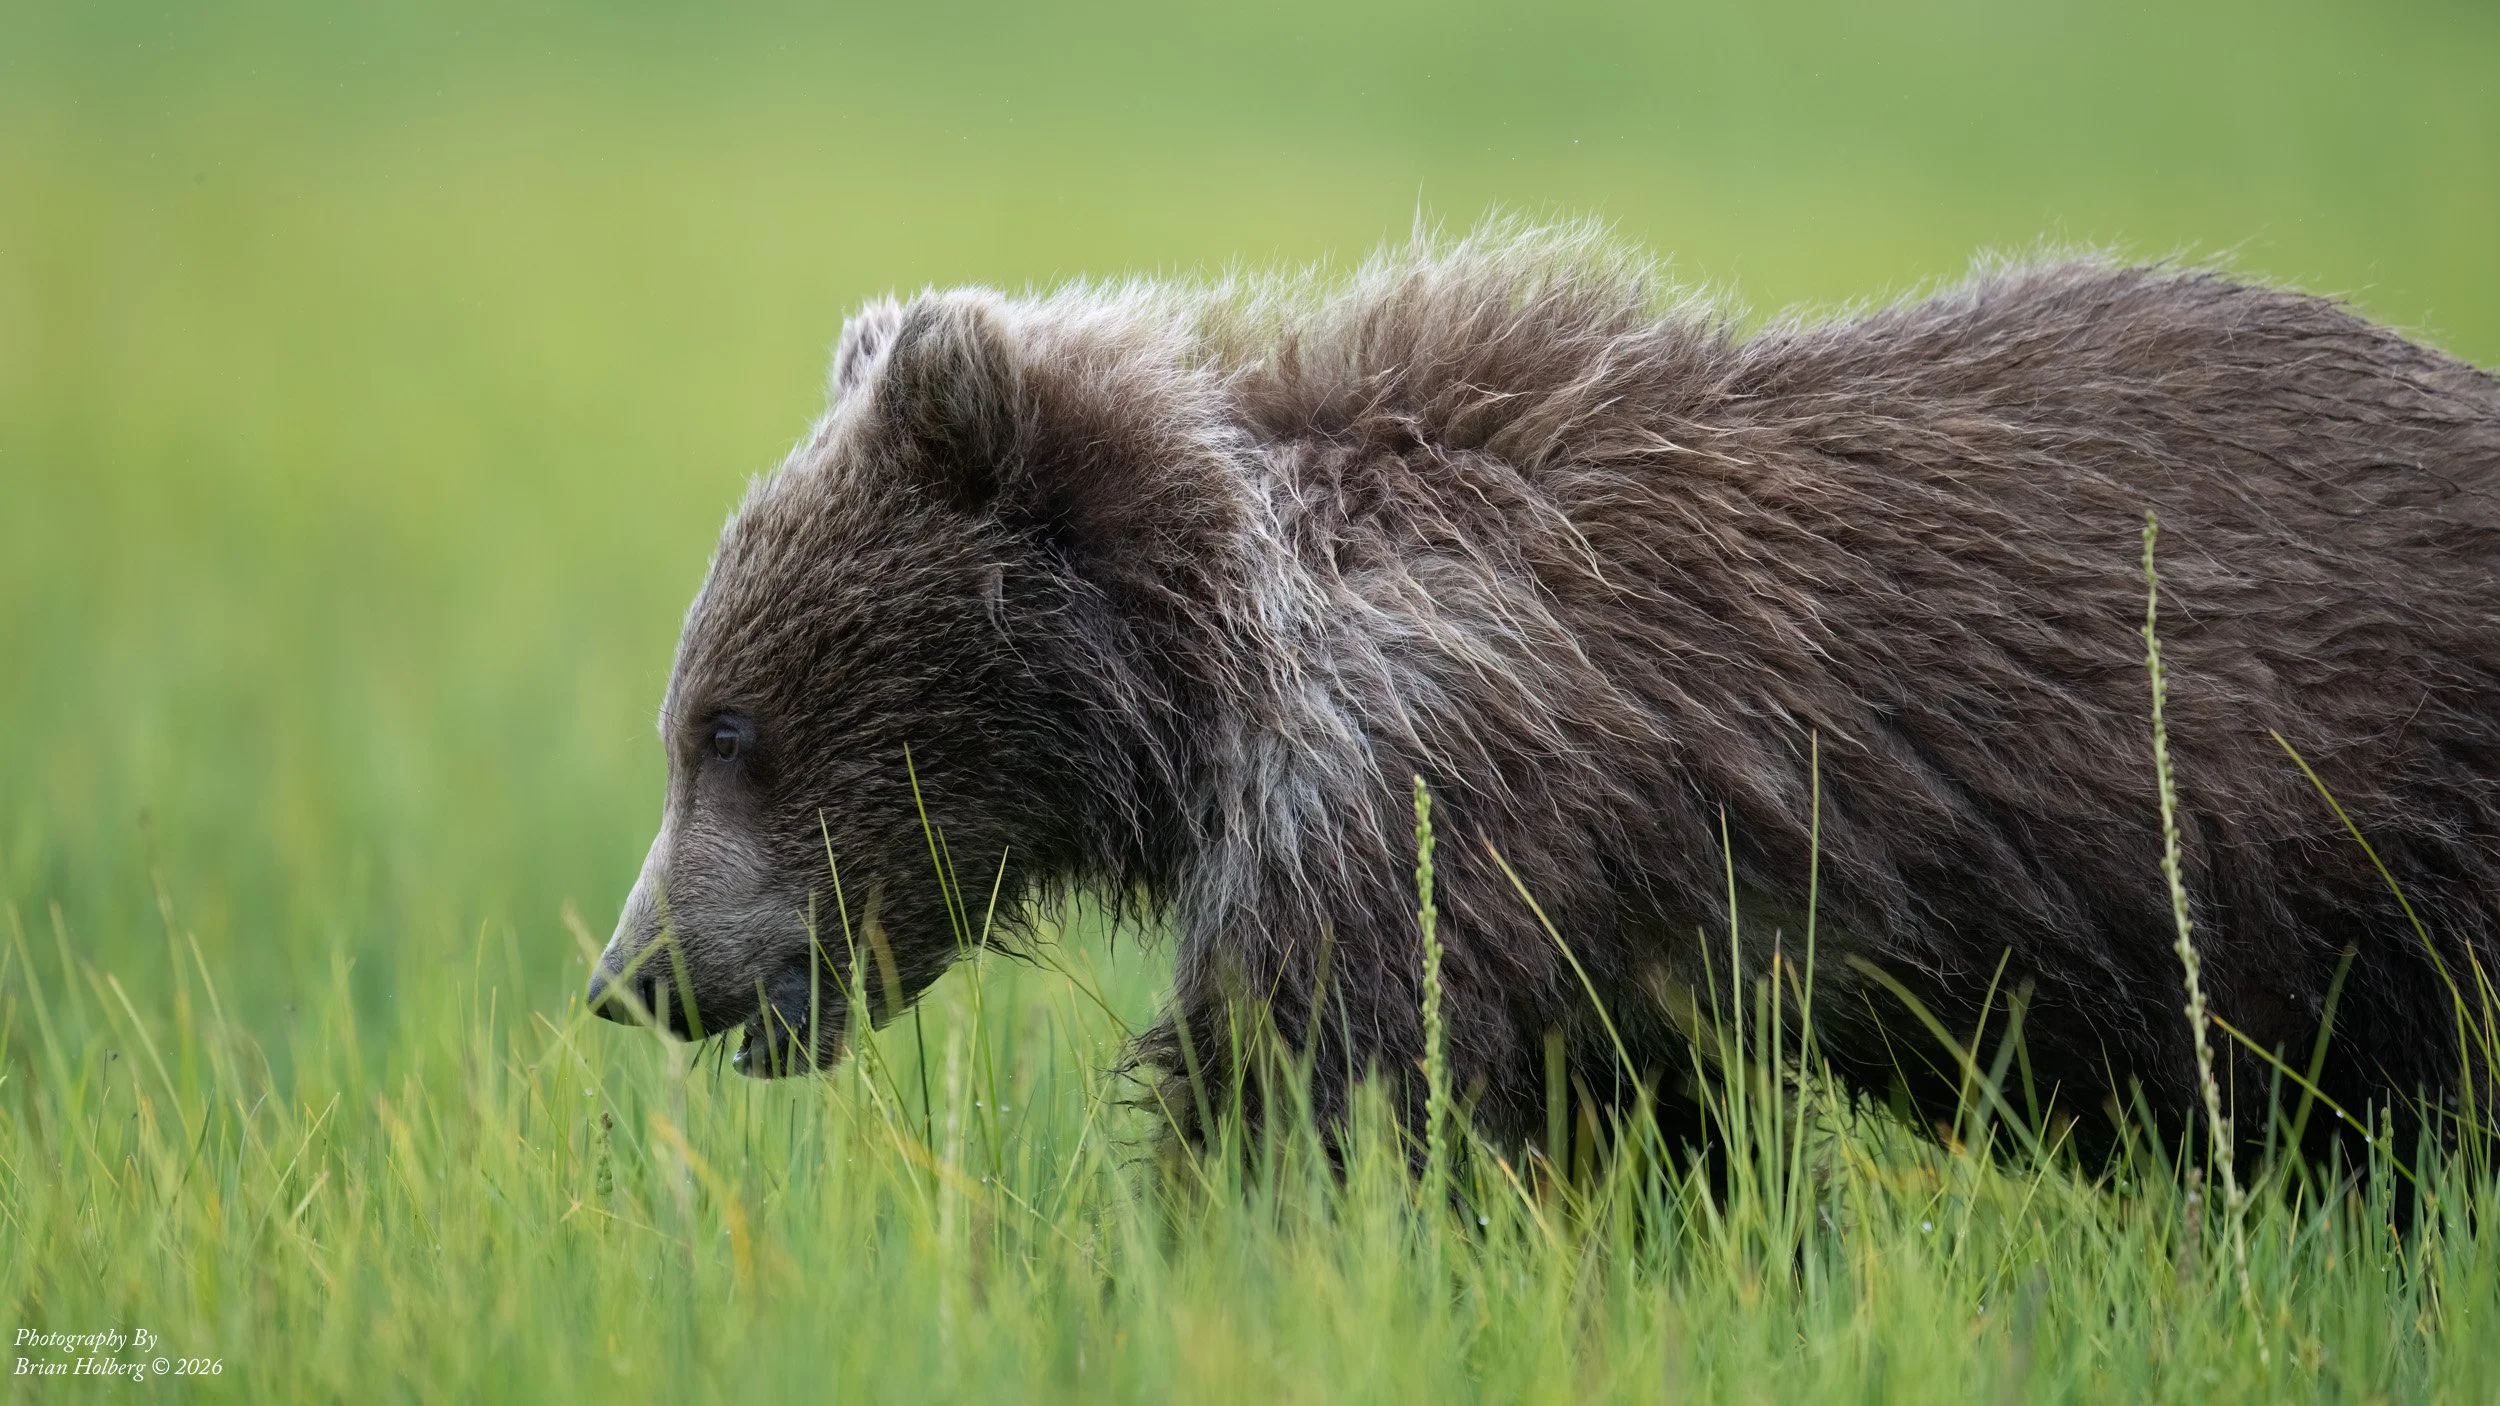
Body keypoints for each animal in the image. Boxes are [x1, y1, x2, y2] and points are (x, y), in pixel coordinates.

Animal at [591, 223, 2500, 1174]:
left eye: (724, 727)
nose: (634, 975)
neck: (1214, 673)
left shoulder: (1422, 808)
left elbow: (1319, 1098)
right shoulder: (1591, 933)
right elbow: (1624, 1144)